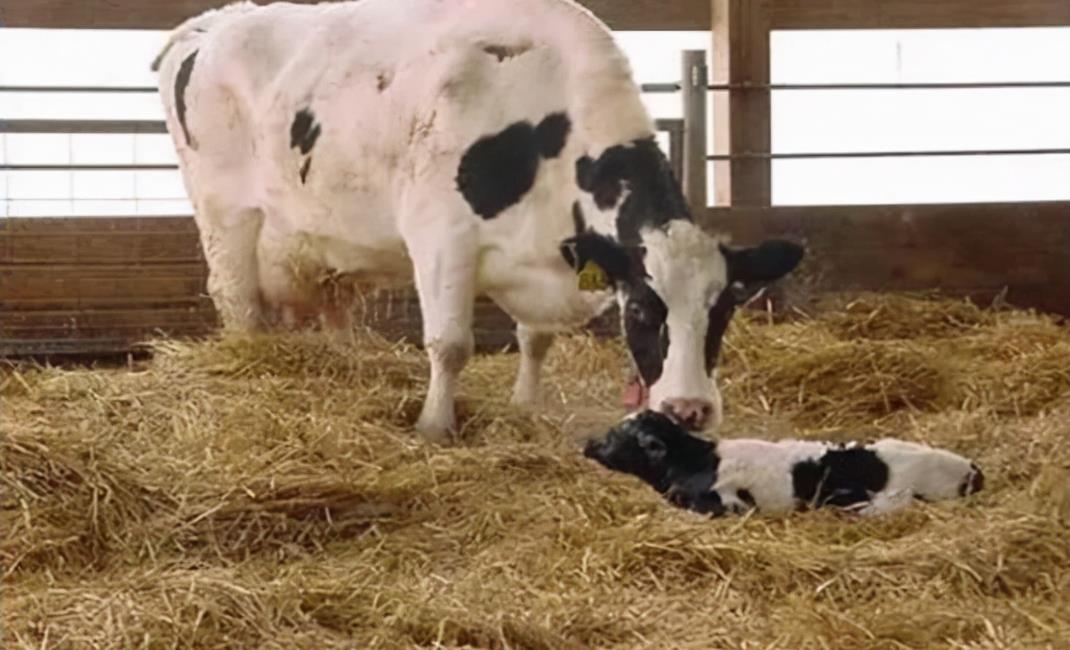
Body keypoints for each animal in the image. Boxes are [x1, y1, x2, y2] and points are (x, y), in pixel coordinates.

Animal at [150, 0, 804, 443]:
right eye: (642, 310)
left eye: (725, 309)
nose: (689, 411)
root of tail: (214, 21)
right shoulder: (441, 238)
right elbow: (450, 346)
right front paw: (435, 425)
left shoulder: (547, 253)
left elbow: (535, 338)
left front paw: (524, 405)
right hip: (226, 212)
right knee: (238, 302)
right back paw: (249, 366)